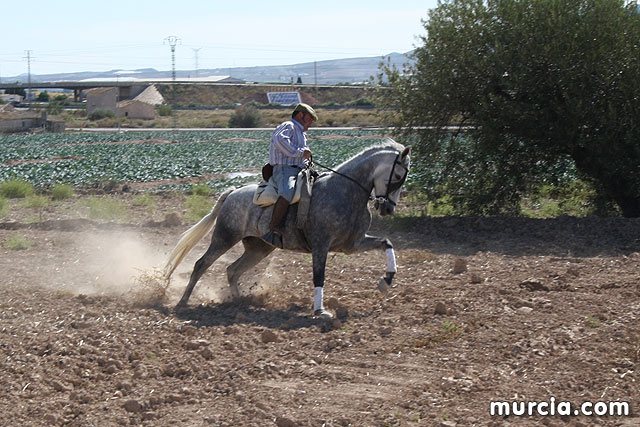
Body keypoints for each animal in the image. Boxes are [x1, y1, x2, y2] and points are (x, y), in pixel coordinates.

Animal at [164, 140, 410, 318]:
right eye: (398, 176)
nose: (388, 208)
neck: (345, 191)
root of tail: (232, 192)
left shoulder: (352, 244)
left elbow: (387, 243)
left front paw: (387, 280)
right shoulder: (321, 245)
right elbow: (319, 276)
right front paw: (320, 311)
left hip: (259, 248)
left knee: (232, 270)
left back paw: (241, 301)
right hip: (224, 238)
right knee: (201, 264)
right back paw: (183, 302)